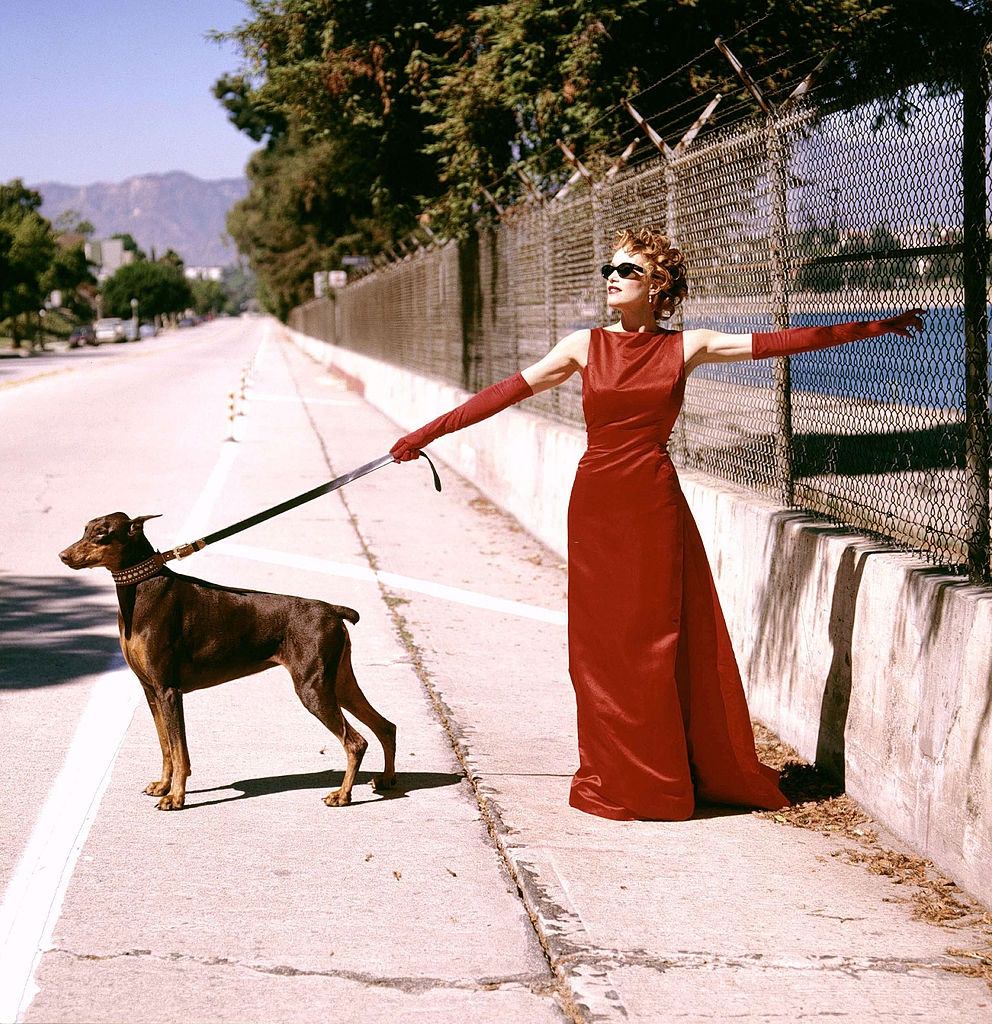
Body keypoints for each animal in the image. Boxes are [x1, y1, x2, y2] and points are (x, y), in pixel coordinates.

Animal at [58, 516, 395, 811]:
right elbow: (166, 746)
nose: (62, 555)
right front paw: (163, 786)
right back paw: (387, 780)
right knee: (385, 726)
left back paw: (342, 795)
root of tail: (333, 611)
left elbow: (179, 751)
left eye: (101, 533)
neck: (141, 591)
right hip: (338, 682)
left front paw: (175, 797)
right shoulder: (150, 690)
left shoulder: (169, 690)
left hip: (313, 688)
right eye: (86, 529)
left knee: (355, 742)